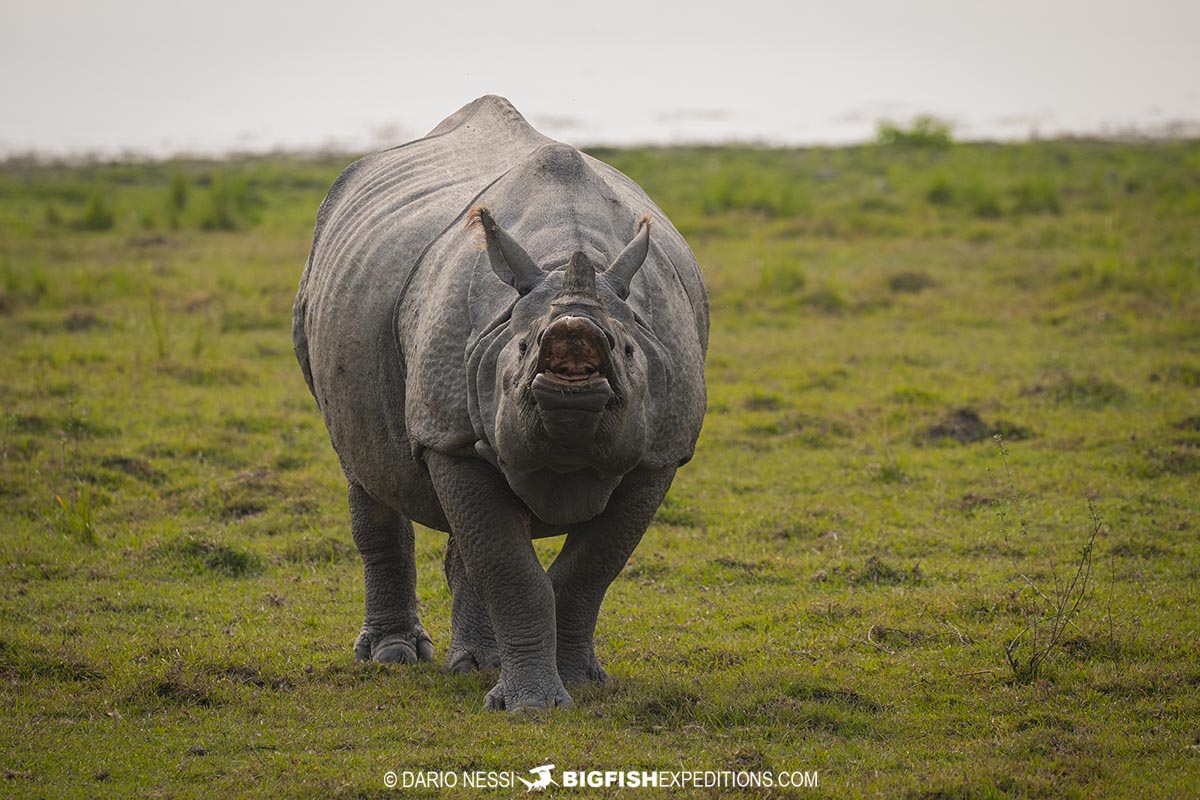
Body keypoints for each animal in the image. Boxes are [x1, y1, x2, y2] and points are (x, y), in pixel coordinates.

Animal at [292, 95, 708, 710]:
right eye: (523, 347)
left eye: (628, 348)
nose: (573, 340)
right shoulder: (449, 437)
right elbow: (510, 568)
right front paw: (530, 708)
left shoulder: (660, 451)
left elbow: (589, 568)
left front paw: (578, 682)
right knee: (364, 470)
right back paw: (393, 656)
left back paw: (476, 664)